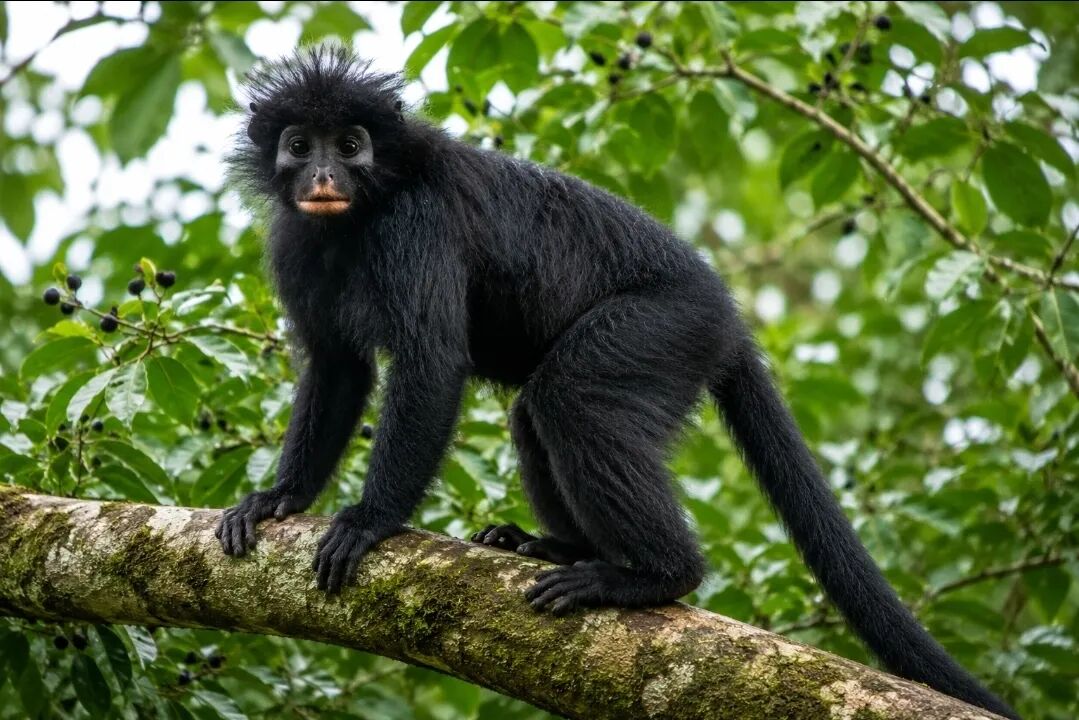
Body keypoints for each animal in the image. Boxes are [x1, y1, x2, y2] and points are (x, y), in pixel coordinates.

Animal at [215, 47, 1016, 719]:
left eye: (350, 144)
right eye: (300, 144)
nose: (323, 176)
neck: (357, 217)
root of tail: (726, 317)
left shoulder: (415, 225)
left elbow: (429, 364)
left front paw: (367, 522)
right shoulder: (293, 242)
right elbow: (338, 366)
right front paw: (280, 497)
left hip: (662, 327)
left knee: (570, 400)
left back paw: (652, 576)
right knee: (535, 415)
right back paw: (561, 548)